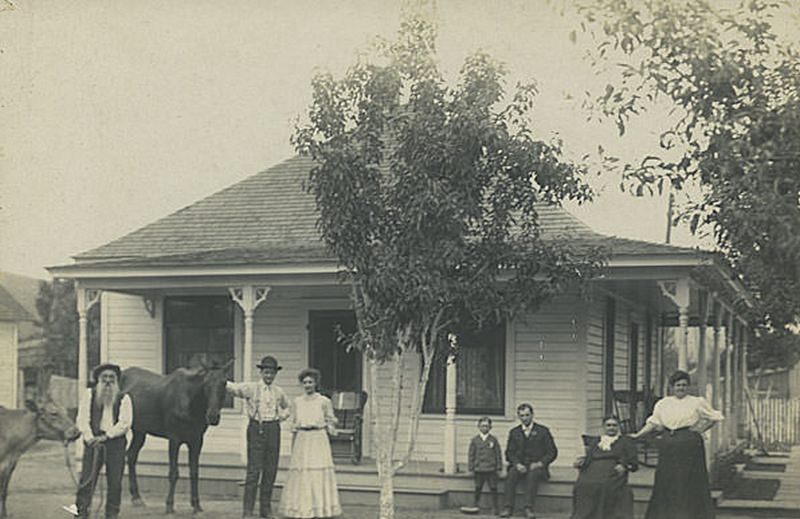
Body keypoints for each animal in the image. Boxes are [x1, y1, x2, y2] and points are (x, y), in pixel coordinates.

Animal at [120, 362, 234, 516]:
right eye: (206, 384)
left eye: (224, 382)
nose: (213, 416)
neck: (192, 406)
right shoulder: (174, 439)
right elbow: (173, 473)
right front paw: (169, 506)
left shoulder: (197, 440)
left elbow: (194, 472)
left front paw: (196, 505)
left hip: (139, 431)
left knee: (131, 456)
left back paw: (136, 498)